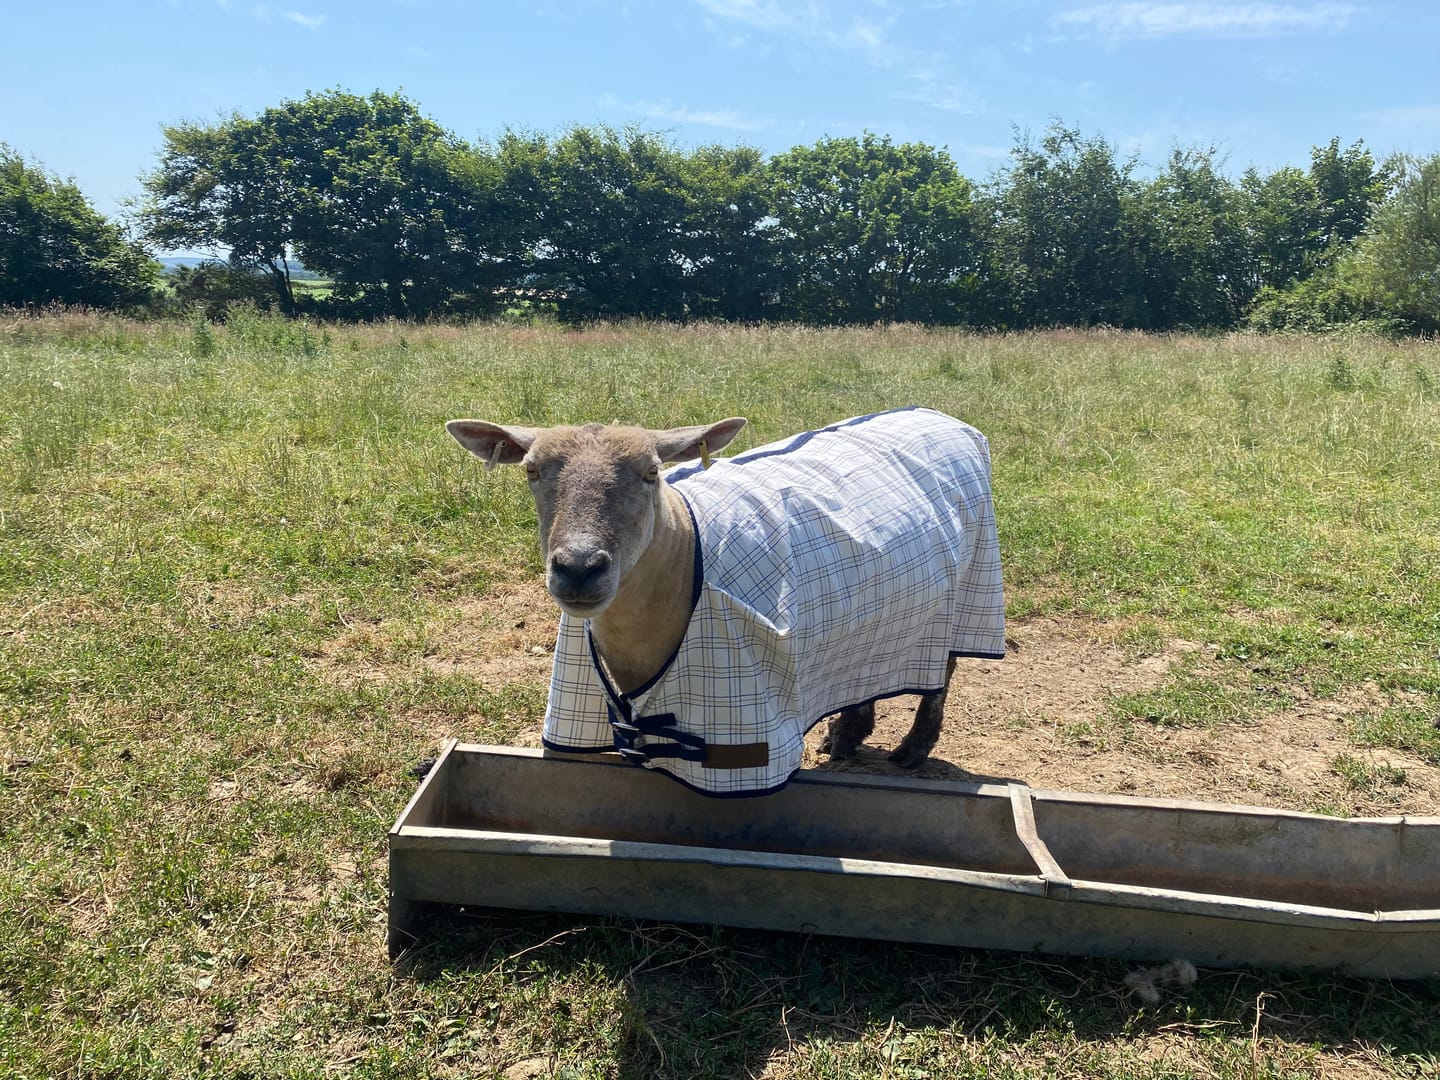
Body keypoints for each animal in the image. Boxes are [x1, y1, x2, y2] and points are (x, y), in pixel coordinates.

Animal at [447, 407, 1005, 796]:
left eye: (652, 473)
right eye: (531, 471)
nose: (579, 567)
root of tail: (940, 415)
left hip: (969, 588)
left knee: (942, 672)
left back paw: (913, 749)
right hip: (880, 611)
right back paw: (847, 734)